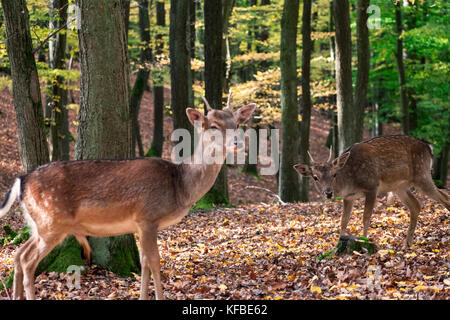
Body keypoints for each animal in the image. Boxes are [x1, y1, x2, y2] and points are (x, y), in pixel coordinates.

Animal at [0, 97, 256, 300]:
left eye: (237, 124)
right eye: (213, 125)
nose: (238, 142)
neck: (180, 187)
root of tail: (22, 179)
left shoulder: (139, 225)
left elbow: (144, 263)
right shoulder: (148, 217)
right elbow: (155, 262)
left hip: (38, 223)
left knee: (18, 254)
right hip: (51, 221)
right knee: (28, 260)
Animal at [296, 135, 450, 248]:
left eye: (334, 174)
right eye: (315, 177)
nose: (328, 193)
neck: (350, 182)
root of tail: (429, 147)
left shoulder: (372, 187)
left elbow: (366, 217)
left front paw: (364, 241)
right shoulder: (349, 197)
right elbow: (343, 220)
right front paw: (338, 244)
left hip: (422, 175)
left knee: (444, 197)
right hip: (400, 186)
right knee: (416, 205)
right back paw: (407, 243)